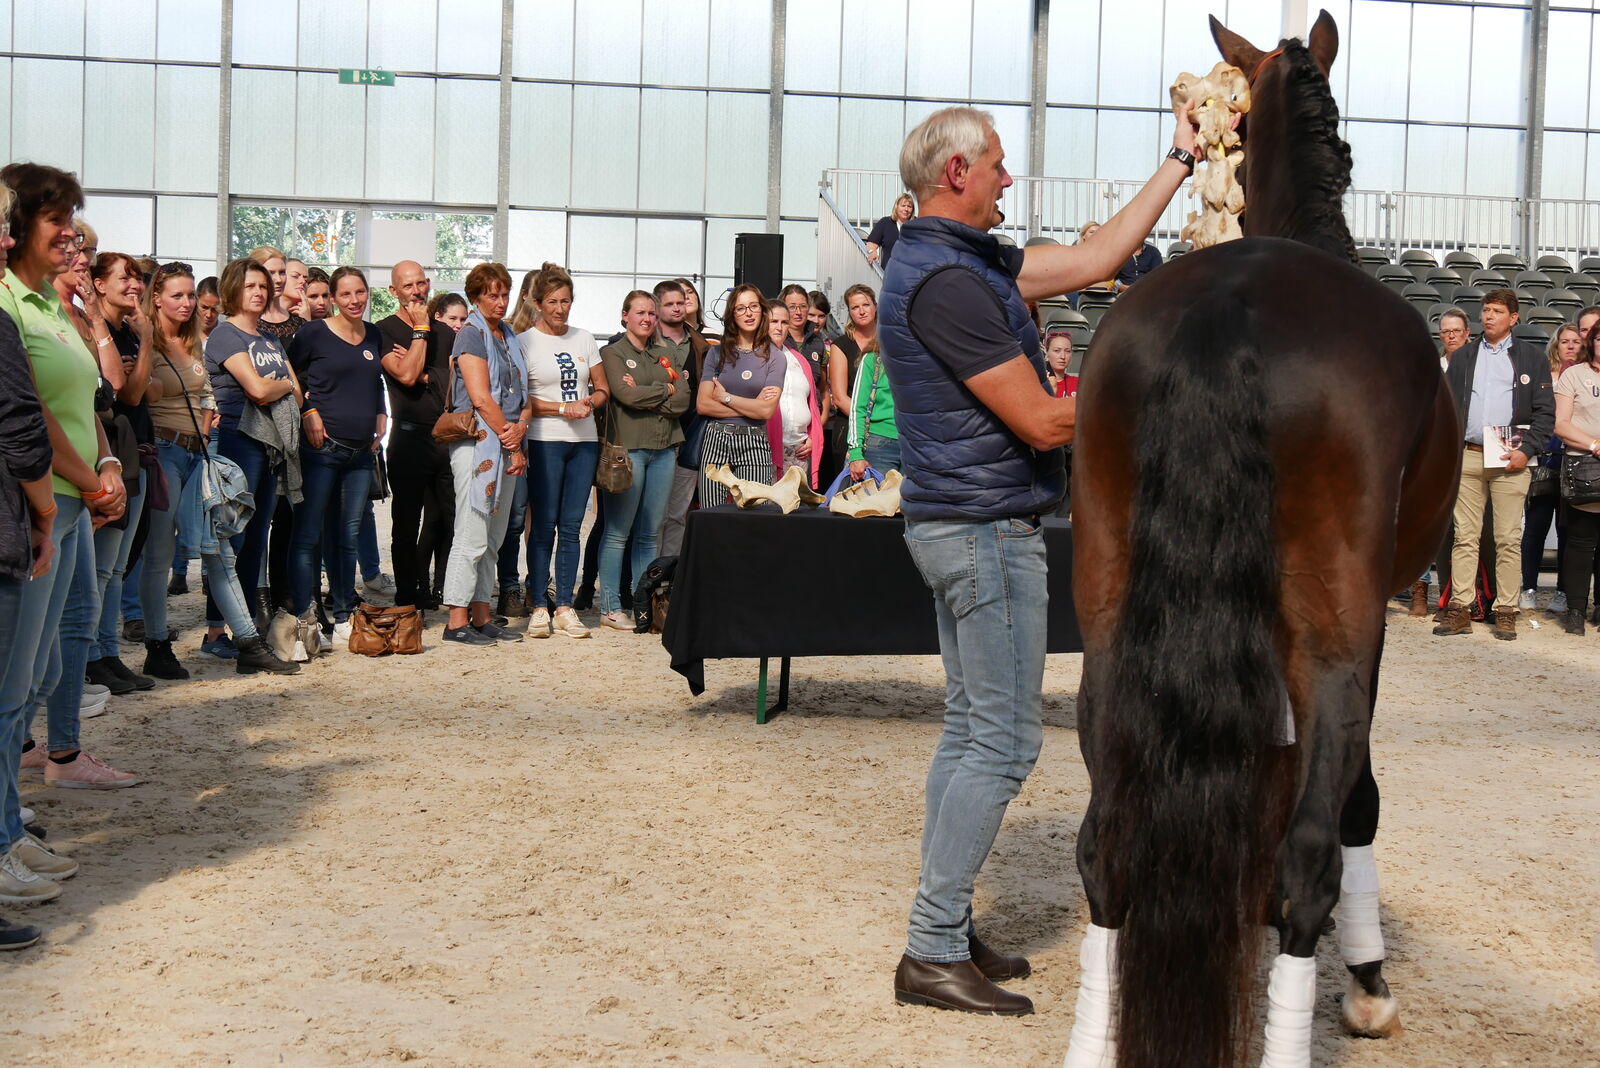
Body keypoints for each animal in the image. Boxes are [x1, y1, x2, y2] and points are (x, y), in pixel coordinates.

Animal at [1061, 12, 1460, 1068]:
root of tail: (1227, 307)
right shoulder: (1362, 631)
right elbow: (1353, 805)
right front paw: (1368, 985)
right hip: (1335, 634)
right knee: (1313, 851)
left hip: (1109, 620)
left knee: (1105, 841)